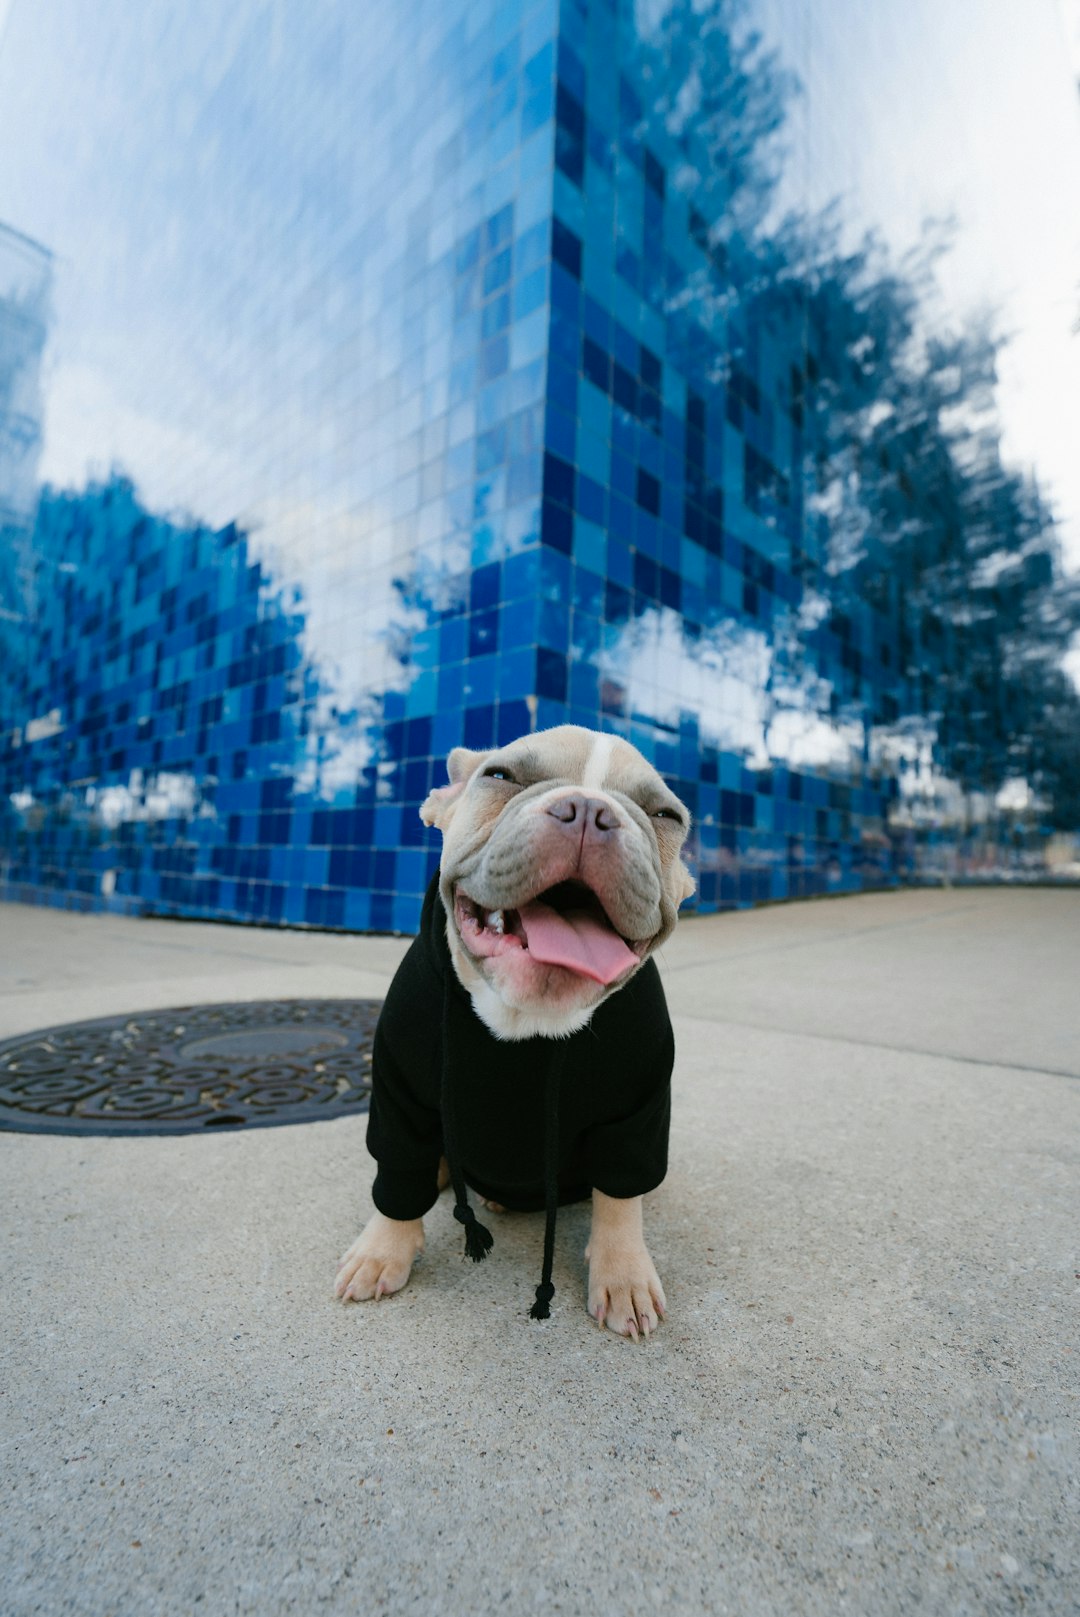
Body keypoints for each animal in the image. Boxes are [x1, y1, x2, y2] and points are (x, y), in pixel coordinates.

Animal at [333, 727, 695, 1332]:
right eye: (500, 777)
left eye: (666, 815)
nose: (590, 810)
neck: (527, 1022)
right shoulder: (398, 1097)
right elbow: (397, 1172)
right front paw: (381, 1250)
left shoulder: (635, 1115)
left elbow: (619, 1201)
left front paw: (624, 1275)